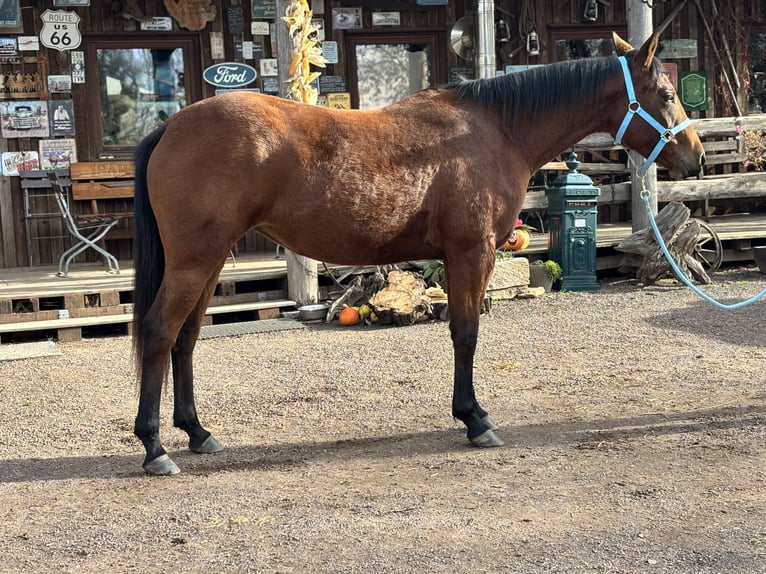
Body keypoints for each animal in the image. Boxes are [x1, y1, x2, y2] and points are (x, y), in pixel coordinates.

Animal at [131, 32, 705, 475]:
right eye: (666, 92)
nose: (695, 157)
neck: (497, 130)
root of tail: (169, 127)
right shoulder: (471, 253)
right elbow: (466, 333)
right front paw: (475, 419)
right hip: (194, 262)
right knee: (160, 333)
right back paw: (156, 448)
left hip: (209, 262)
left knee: (186, 340)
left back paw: (198, 433)